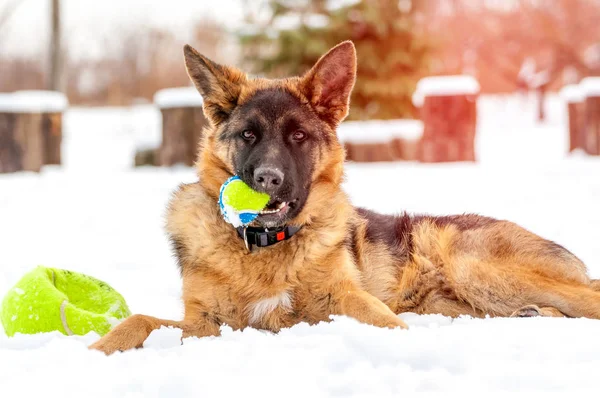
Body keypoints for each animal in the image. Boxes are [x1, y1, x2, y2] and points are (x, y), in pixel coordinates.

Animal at [90, 42, 600, 354]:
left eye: (297, 136)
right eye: (249, 135)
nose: (268, 180)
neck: (268, 248)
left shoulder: (351, 302)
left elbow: (387, 324)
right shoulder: (203, 324)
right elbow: (138, 319)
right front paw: (96, 349)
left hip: (478, 269)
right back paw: (533, 317)